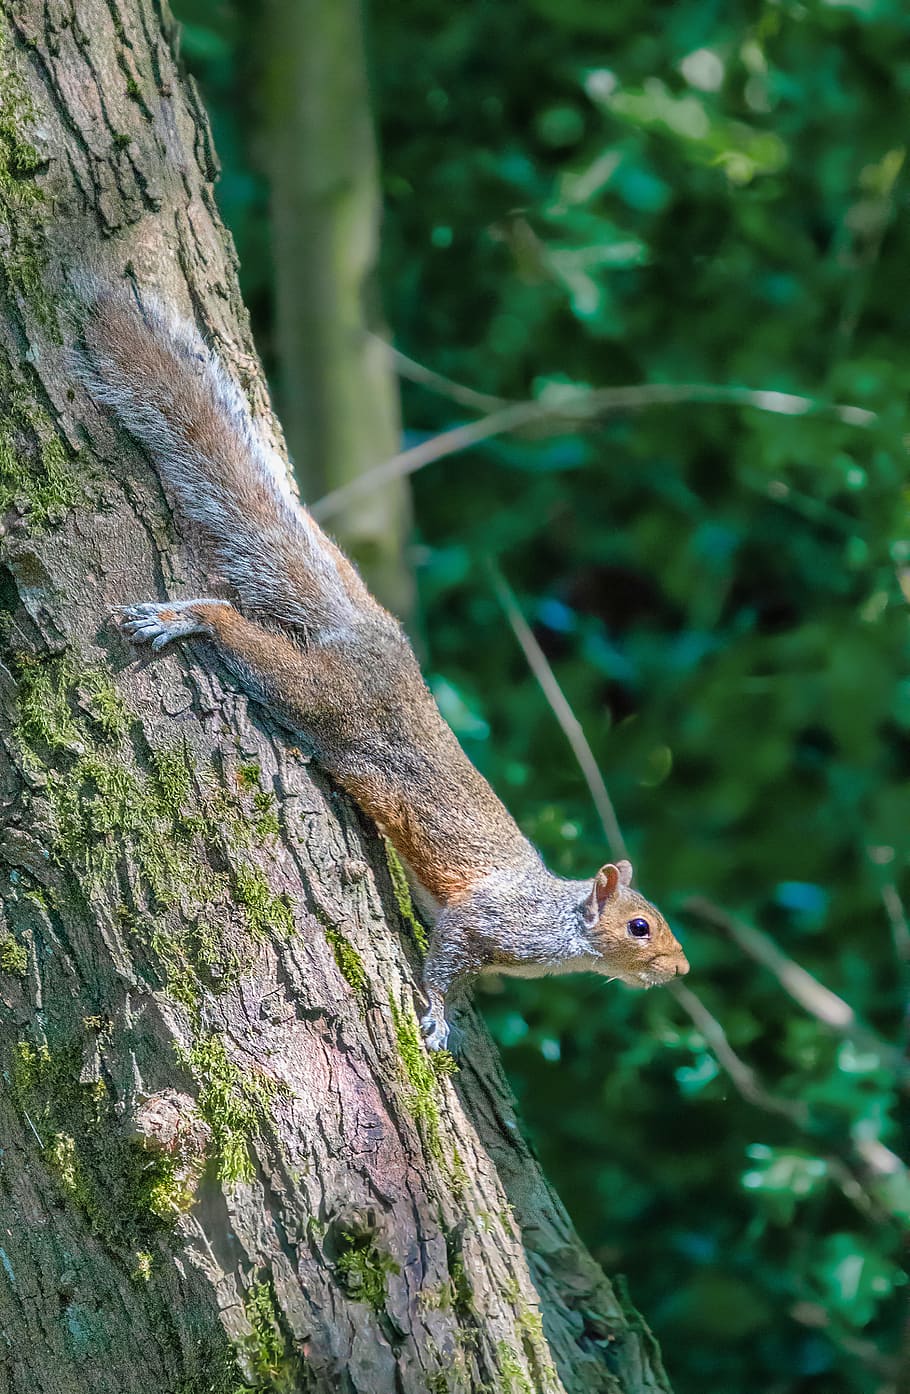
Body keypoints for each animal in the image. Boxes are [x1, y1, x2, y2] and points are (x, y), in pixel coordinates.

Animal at [80, 287, 689, 1051]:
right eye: (639, 926)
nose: (681, 968)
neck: (556, 920)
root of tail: (362, 633)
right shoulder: (486, 920)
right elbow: (448, 958)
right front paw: (436, 1017)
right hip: (317, 695)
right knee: (237, 631)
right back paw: (183, 619)